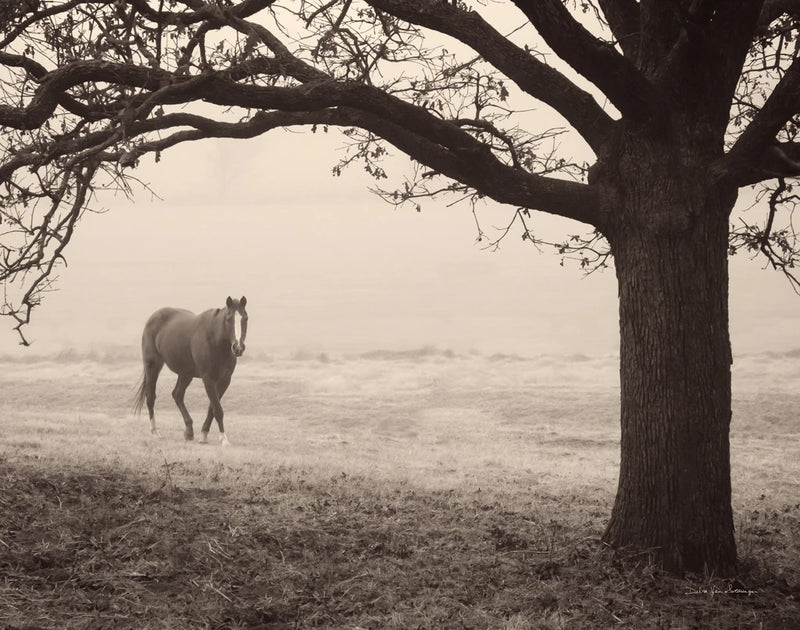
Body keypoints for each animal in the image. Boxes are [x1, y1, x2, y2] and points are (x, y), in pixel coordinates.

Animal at [133, 296, 248, 446]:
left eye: (245, 318)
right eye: (229, 319)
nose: (238, 348)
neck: (215, 340)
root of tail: (153, 317)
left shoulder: (224, 380)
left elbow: (212, 408)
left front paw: (204, 435)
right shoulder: (208, 379)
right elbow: (217, 409)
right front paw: (223, 439)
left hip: (185, 374)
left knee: (177, 395)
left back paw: (189, 431)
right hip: (153, 366)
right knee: (151, 397)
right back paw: (155, 432)